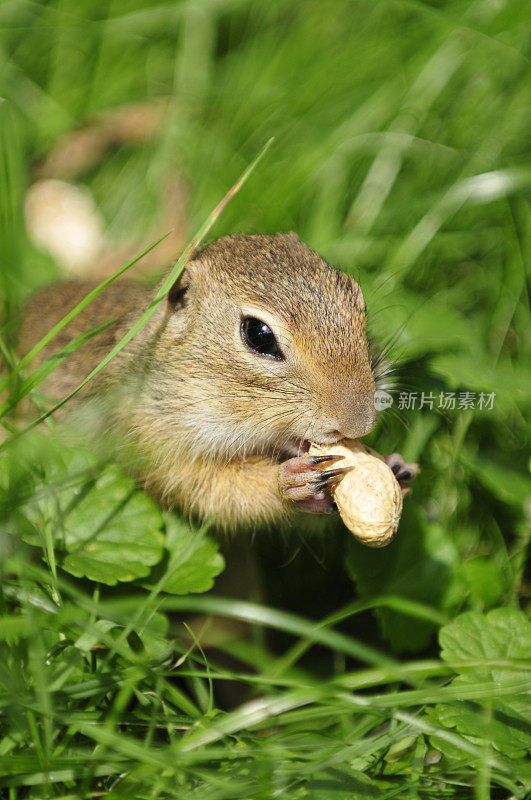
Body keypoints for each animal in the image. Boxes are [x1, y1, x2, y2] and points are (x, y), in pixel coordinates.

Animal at [16, 231, 418, 528]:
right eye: (258, 335)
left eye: (357, 300)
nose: (360, 424)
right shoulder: (149, 436)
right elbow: (210, 490)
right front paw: (290, 483)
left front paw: (395, 466)